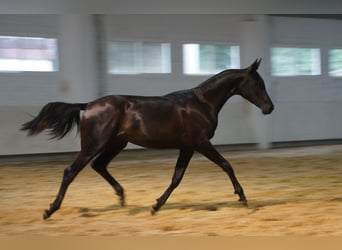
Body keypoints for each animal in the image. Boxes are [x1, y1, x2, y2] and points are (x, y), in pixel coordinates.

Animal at [21, 58, 274, 219]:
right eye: (257, 83)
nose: (269, 108)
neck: (201, 103)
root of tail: (87, 105)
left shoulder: (187, 147)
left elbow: (176, 178)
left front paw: (155, 206)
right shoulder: (201, 143)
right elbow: (226, 165)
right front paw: (243, 198)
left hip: (116, 143)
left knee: (99, 165)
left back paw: (122, 198)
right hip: (94, 144)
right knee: (71, 171)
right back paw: (50, 210)